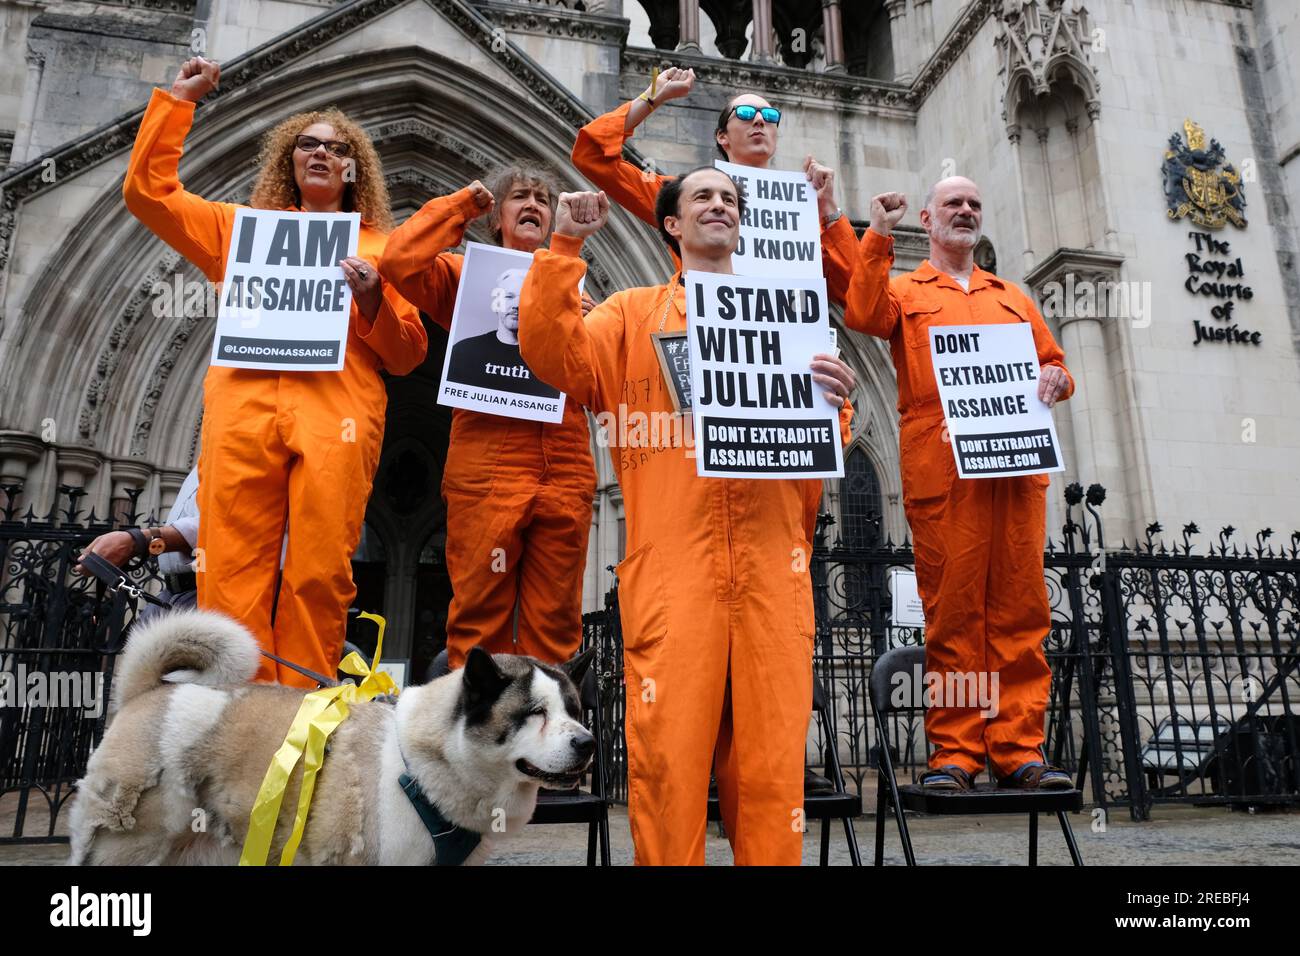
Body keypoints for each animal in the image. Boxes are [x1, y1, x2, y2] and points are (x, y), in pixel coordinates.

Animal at [68, 613, 595, 868]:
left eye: (573, 711)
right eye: (535, 714)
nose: (587, 743)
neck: (424, 762)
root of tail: (147, 693)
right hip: (128, 845)